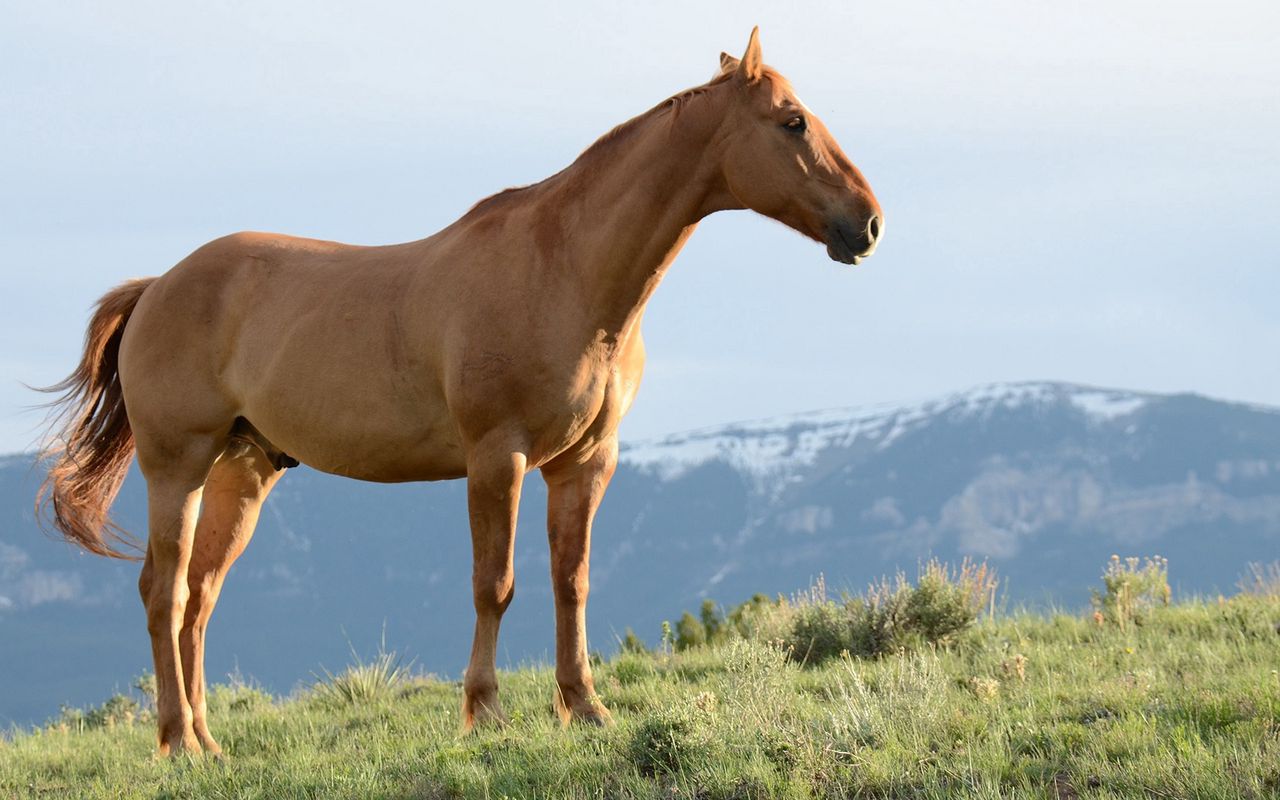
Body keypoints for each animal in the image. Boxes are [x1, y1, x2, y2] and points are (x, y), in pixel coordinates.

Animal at [37, 29, 880, 752]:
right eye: (793, 121)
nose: (867, 224)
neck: (565, 272)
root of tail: (157, 286)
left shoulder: (585, 463)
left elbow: (571, 582)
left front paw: (585, 708)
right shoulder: (497, 457)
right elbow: (494, 585)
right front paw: (486, 712)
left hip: (242, 472)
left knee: (200, 598)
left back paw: (208, 742)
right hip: (177, 465)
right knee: (164, 592)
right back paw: (178, 742)